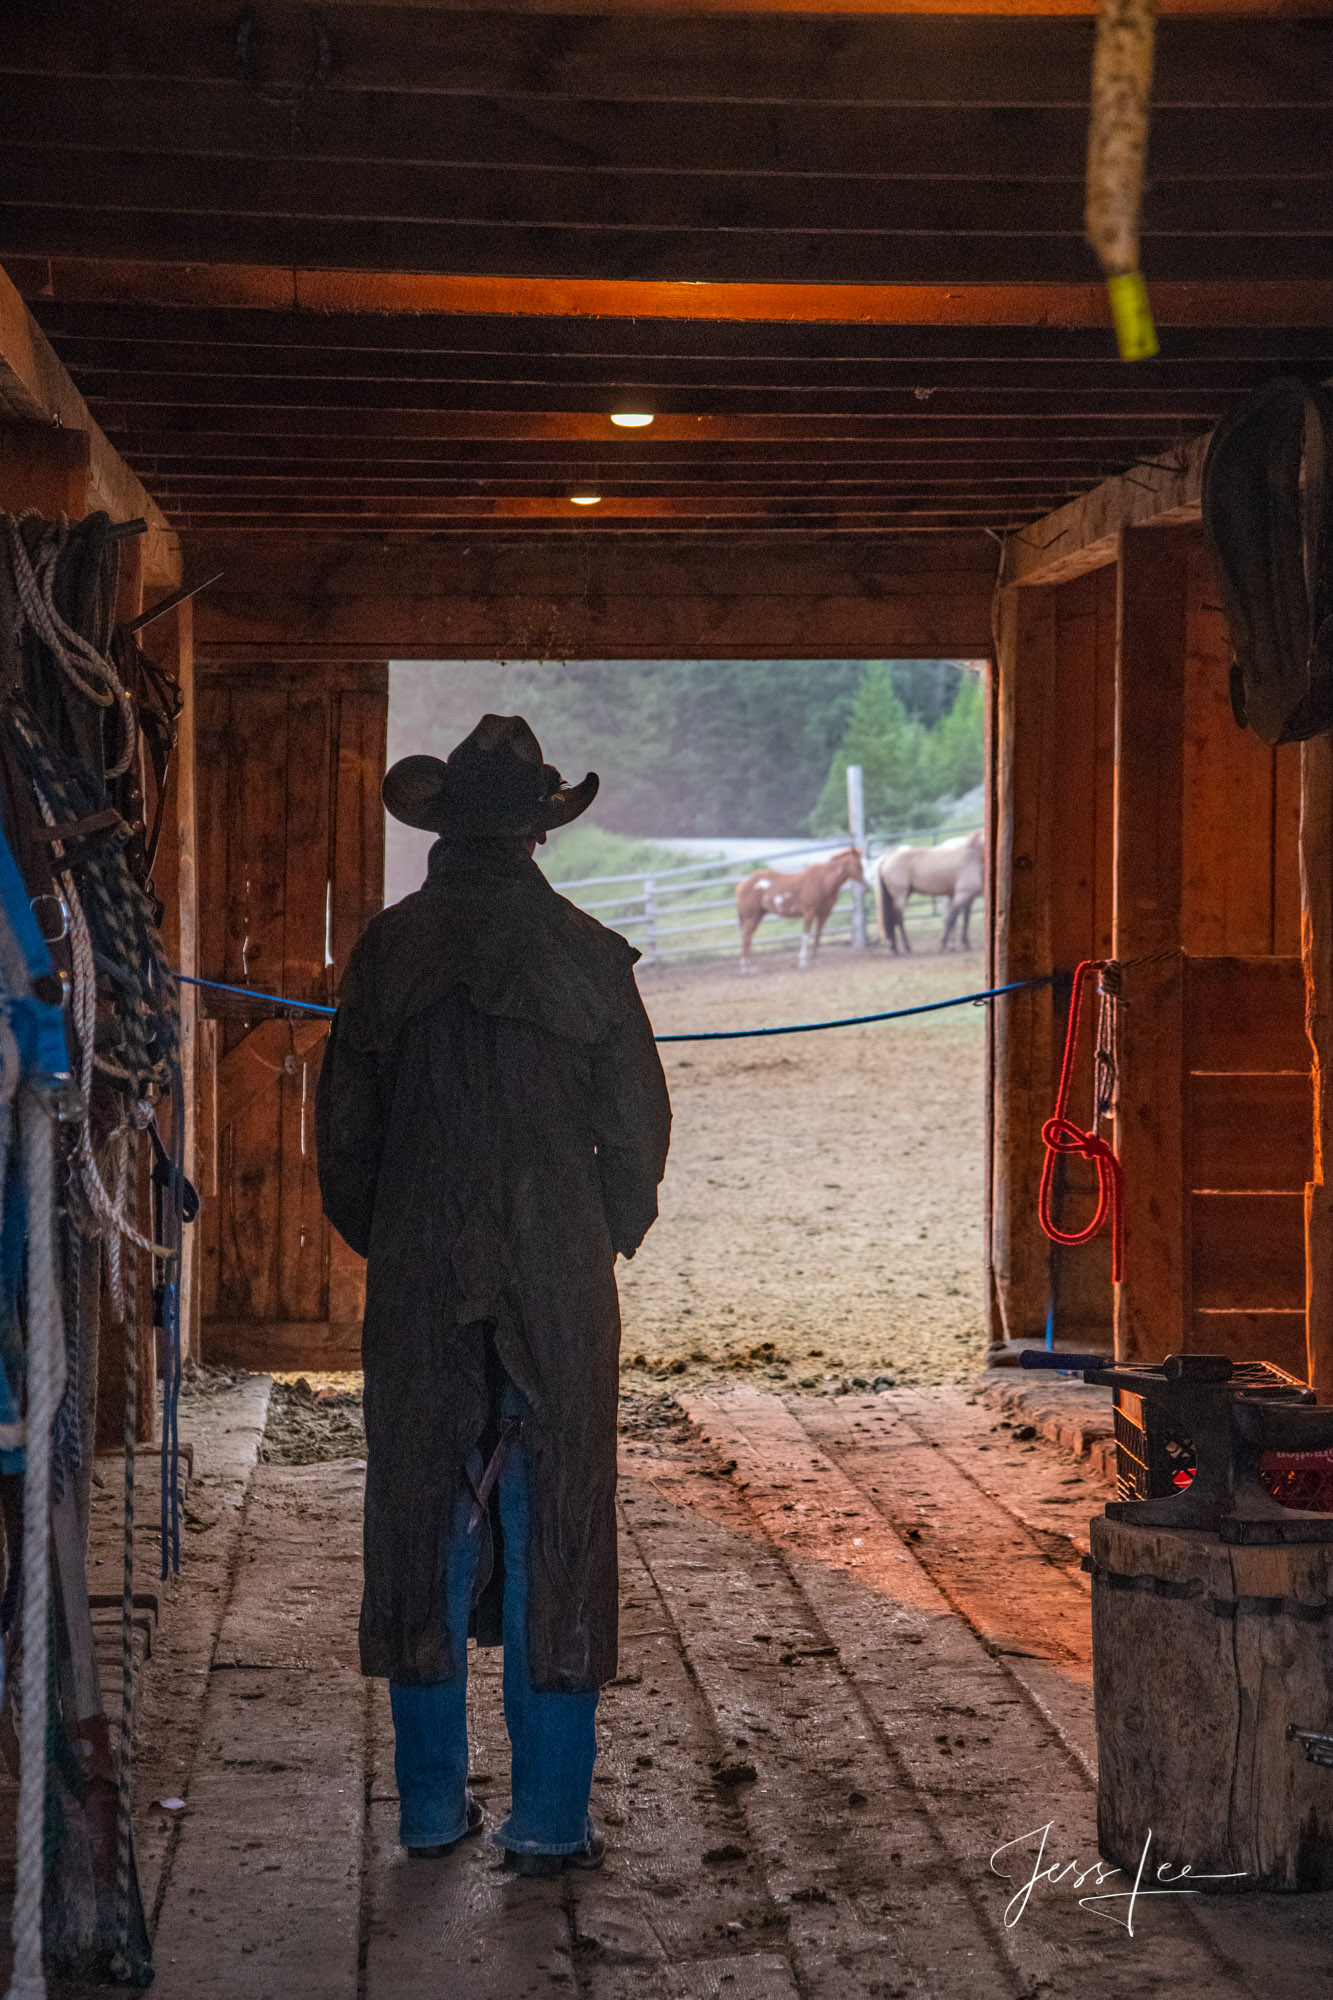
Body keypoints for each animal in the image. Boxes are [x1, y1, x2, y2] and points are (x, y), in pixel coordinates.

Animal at [732, 840, 868, 972]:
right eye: (859, 865)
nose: (867, 886)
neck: (822, 881)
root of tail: (742, 884)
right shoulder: (809, 913)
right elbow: (805, 936)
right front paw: (802, 962)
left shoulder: (824, 915)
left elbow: (818, 936)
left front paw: (815, 961)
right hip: (752, 916)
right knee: (746, 937)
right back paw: (745, 968)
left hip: (758, 916)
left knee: (748, 937)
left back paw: (750, 966)